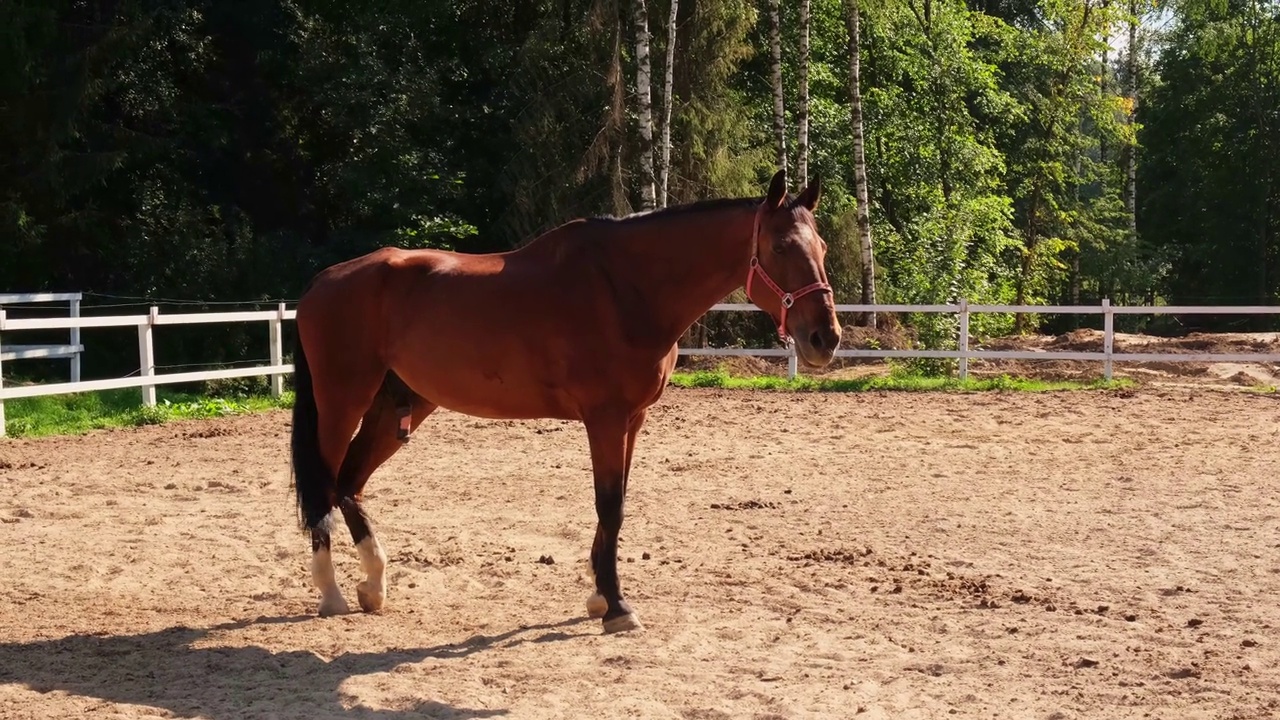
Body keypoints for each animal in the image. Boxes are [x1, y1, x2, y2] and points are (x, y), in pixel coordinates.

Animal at [294, 165, 844, 630]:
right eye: (779, 247)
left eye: (820, 246)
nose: (825, 338)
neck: (627, 289)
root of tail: (320, 283)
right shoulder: (605, 418)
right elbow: (610, 505)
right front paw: (617, 607)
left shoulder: (633, 420)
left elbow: (616, 505)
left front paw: (600, 597)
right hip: (342, 403)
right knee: (325, 483)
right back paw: (332, 594)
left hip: (396, 407)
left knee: (349, 484)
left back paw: (374, 585)